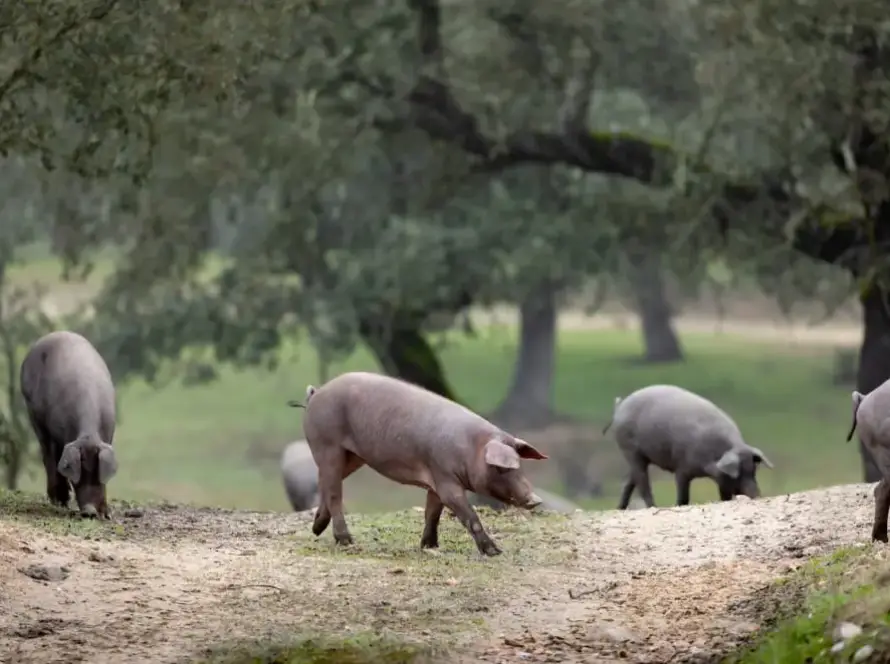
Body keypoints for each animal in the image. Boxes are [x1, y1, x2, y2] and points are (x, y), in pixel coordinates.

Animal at [19, 330, 118, 519]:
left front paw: (107, 515)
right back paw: (59, 501)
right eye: (77, 477)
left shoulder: (109, 434)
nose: (89, 512)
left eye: (97, 474)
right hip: (32, 409)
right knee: (47, 454)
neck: (89, 434)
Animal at [288, 371, 548, 556]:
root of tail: (316, 393)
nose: (536, 499)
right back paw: (346, 541)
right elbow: (468, 515)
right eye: (502, 468)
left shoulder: (435, 480)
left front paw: (430, 547)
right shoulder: (445, 478)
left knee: (325, 482)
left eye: (519, 465)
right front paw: (495, 552)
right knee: (334, 492)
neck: (470, 448)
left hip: (353, 457)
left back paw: (317, 528)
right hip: (327, 444)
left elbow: (432, 512)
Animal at [602, 384, 773, 509]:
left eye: (754, 470)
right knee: (642, 482)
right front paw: (678, 505)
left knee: (629, 480)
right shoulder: (682, 468)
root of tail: (620, 407)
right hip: (630, 450)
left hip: (638, 456)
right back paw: (653, 507)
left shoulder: (721, 479)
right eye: (738, 473)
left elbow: (725, 496)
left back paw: (620, 508)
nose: (758, 495)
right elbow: (683, 496)